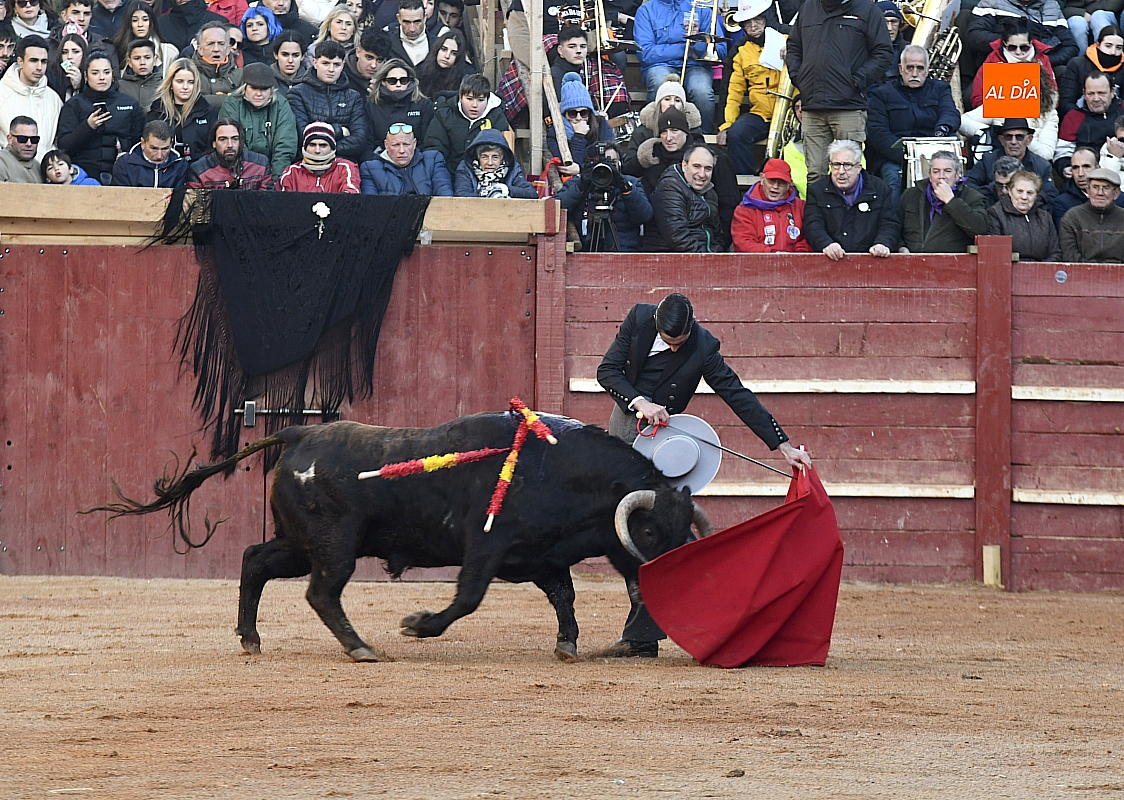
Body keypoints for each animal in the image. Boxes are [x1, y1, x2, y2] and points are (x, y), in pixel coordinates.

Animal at [94, 411, 713, 662]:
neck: (557, 467)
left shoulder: (540, 556)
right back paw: (361, 647)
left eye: (685, 530)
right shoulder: (485, 547)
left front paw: (567, 645)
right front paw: (419, 624)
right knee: (322, 592)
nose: (671, 577)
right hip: (335, 547)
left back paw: (251, 638)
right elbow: (468, 597)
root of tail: (298, 434)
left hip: (299, 544)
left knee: (254, 561)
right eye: (651, 527)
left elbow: (564, 595)